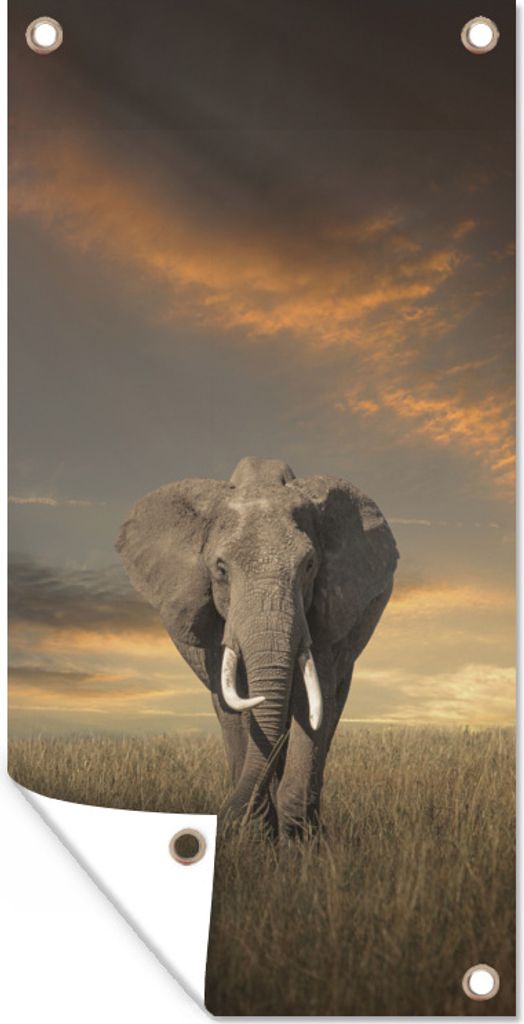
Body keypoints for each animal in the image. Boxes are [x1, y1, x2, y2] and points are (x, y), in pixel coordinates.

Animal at [116, 456, 398, 839]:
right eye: (221, 569)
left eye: (309, 566)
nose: (223, 817)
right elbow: (236, 703)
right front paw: (255, 833)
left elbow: (313, 699)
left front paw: (298, 839)